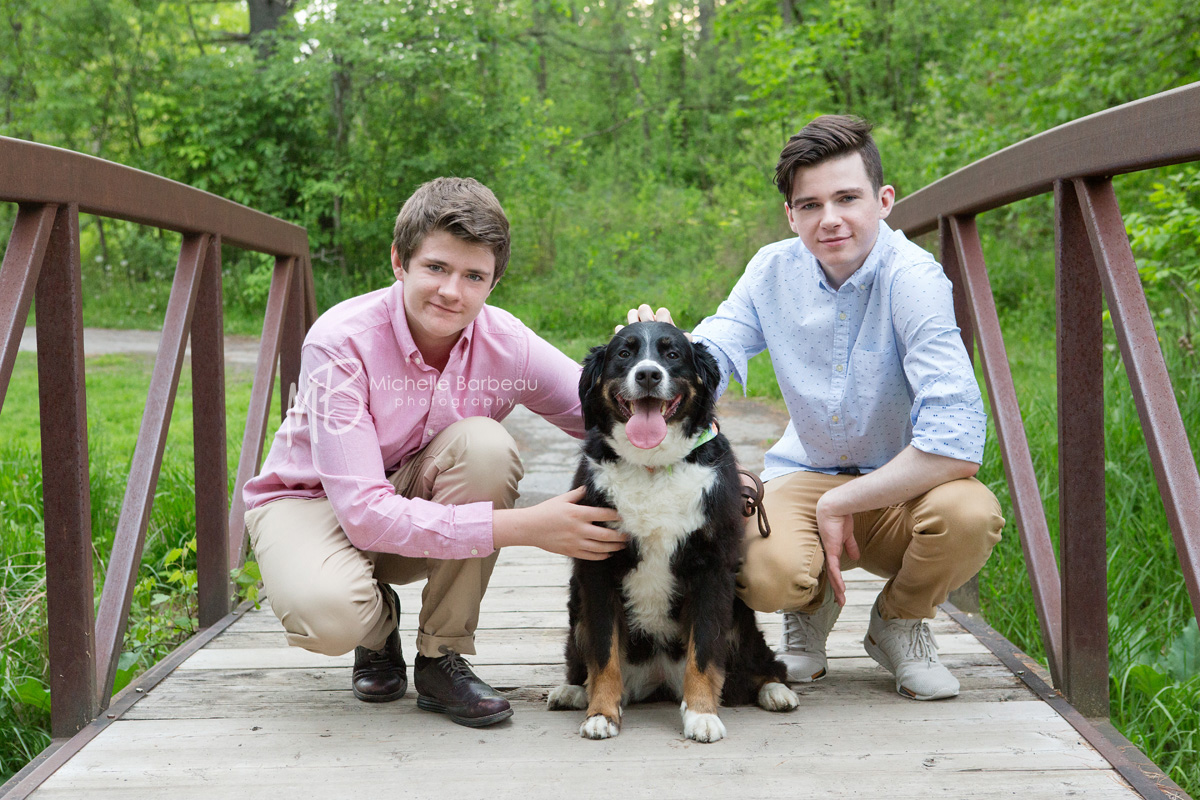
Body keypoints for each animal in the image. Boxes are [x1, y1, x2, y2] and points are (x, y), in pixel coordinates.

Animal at [549, 321, 796, 743]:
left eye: (672, 354)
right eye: (624, 353)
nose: (648, 374)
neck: (652, 467)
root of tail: (659, 678)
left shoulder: (711, 568)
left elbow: (704, 652)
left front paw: (701, 715)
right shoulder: (597, 568)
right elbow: (604, 652)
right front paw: (601, 714)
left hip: (739, 616)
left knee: (759, 665)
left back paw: (776, 691)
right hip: (576, 606)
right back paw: (574, 691)